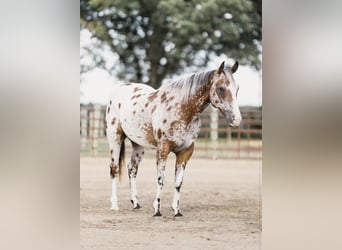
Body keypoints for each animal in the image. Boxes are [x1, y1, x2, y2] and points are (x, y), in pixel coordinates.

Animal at [105, 61, 242, 217]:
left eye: (237, 88)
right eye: (221, 88)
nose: (236, 120)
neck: (181, 109)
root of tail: (120, 89)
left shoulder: (186, 152)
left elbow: (178, 182)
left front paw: (176, 210)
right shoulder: (163, 149)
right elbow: (161, 180)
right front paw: (157, 210)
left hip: (138, 145)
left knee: (132, 169)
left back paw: (135, 203)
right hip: (115, 138)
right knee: (114, 169)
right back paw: (114, 205)